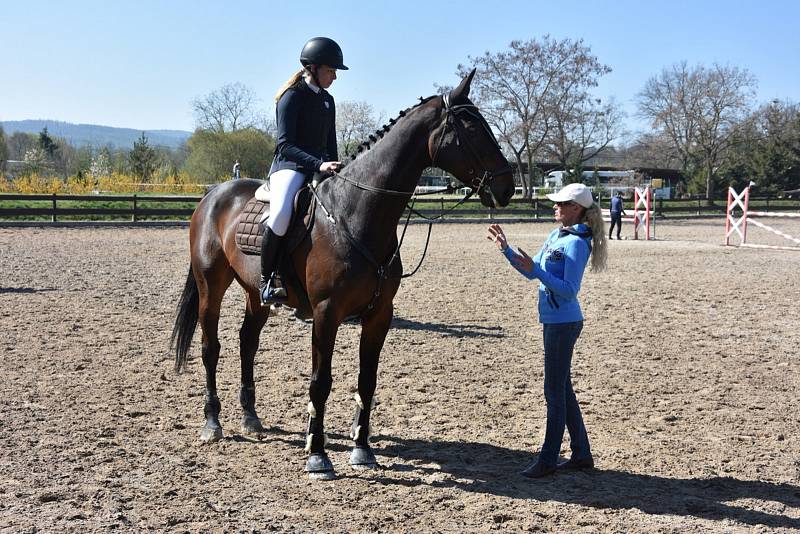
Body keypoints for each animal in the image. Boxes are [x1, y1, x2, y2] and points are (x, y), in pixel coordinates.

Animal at [172, 68, 516, 482]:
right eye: (470, 126)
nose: (507, 187)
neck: (357, 212)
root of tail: (213, 194)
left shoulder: (379, 314)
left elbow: (367, 380)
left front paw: (362, 448)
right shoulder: (326, 313)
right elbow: (321, 382)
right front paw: (317, 455)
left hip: (257, 293)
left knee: (247, 343)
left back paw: (251, 418)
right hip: (211, 285)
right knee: (211, 347)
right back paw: (213, 424)